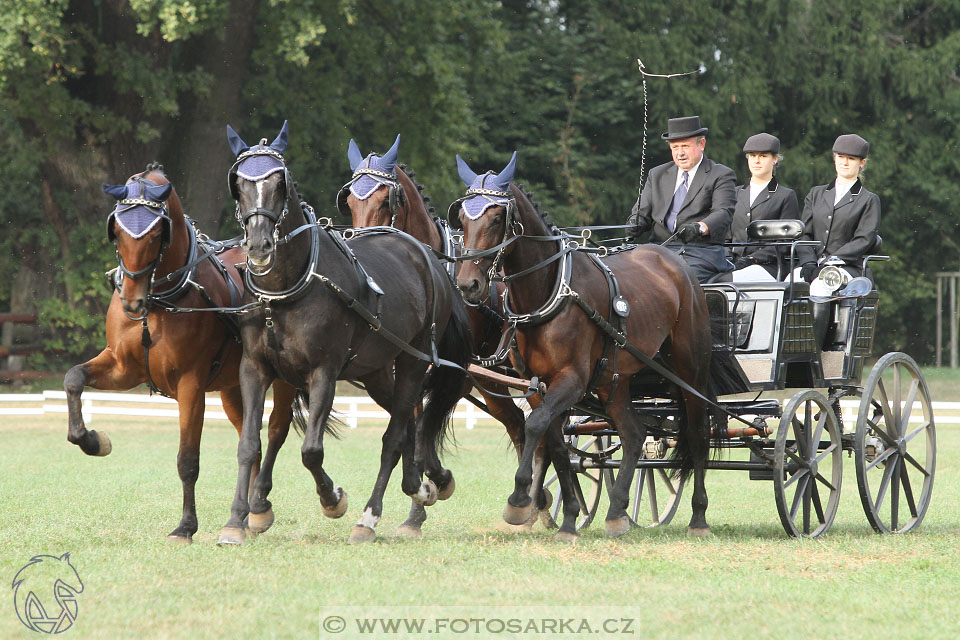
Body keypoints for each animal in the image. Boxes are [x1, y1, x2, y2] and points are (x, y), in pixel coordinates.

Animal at [63, 164, 296, 540]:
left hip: (283, 377)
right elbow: (73, 378)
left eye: (158, 232)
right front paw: (93, 440)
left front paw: (186, 526)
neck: (160, 300)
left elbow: (187, 460)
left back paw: (259, 508)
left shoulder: (191, 384)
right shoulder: (122, 368)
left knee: (275, 430)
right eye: (117, 230)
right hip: (233, 387)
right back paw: (245, 516)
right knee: (251, 437)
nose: (131, 300)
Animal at [218, 121, 472, 544]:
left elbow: (311, 450)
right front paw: (236, 520)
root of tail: (426, 257)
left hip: (412, 359)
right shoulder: (254, 368)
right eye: (238, 183)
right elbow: (249, 444)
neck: (286, 289)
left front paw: (332, 499)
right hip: (375, 371)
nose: (258, 244)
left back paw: (371, 517)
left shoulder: (324, 371)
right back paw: (423, 485)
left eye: (280, 182)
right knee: (410, 421)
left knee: (395, 435)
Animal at [338, 135, 552, 536]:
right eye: (350, 200)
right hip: (493, 384)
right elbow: (412, 428)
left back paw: (537, 500)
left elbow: (422, 430)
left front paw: (437, 483)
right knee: (518, 425)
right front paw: (418, 506)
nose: (363, 244)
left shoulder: (456, 373)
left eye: (386, 199)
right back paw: (535, 501)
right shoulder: (408, 370)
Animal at [454, 154, 716, 540]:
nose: (467, 284)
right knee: (634, 434)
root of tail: (674, 261)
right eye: (461, 218)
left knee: (698, 434)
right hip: (614, 378)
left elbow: (535, 427)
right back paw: (617, 511)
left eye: (498, 218)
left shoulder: (573, 380)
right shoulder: (537, 385)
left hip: (691, 369)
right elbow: (556, 444)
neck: (550, 291)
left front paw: (519, 499)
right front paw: (567, 517)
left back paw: (698, 516)